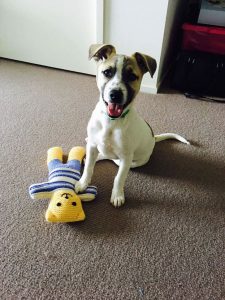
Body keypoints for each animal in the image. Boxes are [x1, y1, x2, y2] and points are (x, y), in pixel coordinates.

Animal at [76, 44, 190, 207]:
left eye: (131, 77)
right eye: (107, 72)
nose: (115, 94)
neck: (111, 122)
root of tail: (154, 138)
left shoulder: (126, 157)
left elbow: (119, 178)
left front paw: (117, 195)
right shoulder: (92, 146)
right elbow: (88, 168)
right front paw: (82, 183)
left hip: (134, 161)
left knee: (115, 161)